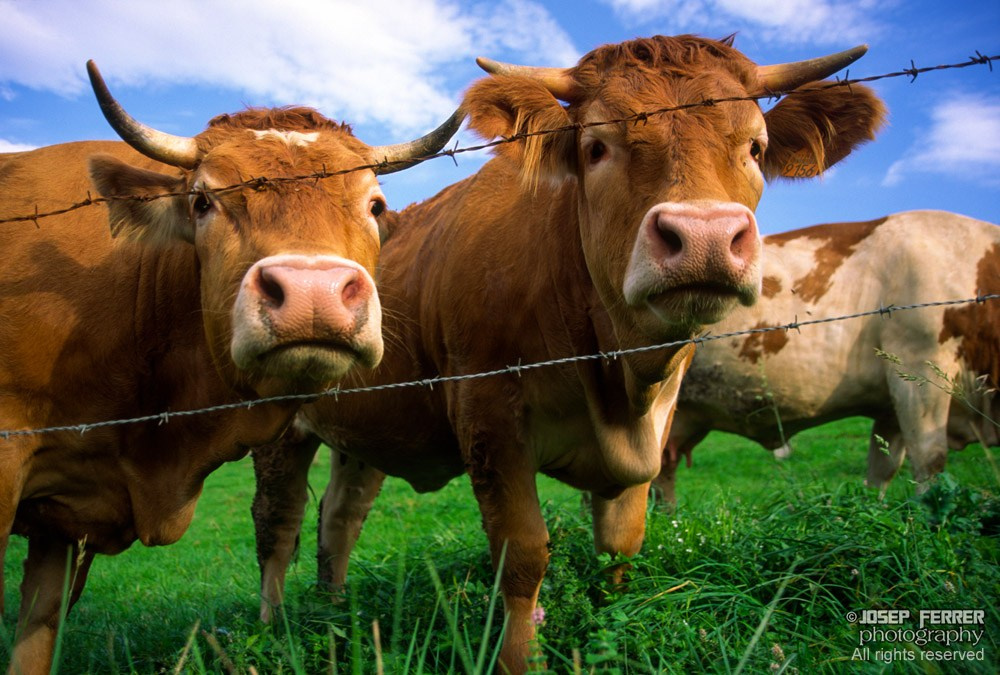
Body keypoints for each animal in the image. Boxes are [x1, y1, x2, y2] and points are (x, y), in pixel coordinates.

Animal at [249, 35, 887, 672]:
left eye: (756, 147)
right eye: (596, 146)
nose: (704, 238)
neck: (616, 375)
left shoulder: (653, 428)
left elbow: (620, 548)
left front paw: (609, 632)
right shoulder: (489, 417)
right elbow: (523, 552)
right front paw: (518, 658)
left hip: (366, 430)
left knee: (340, 517)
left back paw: (333, 612)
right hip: (276, 426)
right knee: (277, 522)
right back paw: (273, 630)